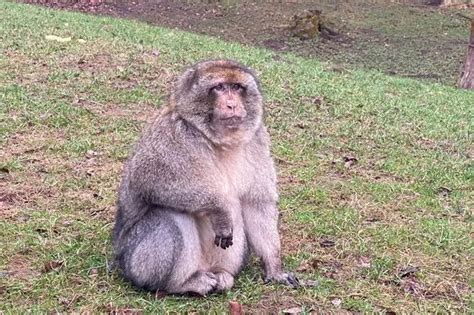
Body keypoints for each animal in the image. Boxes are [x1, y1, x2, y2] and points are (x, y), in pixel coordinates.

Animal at [111, 59, 298, 296]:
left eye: (237, 87)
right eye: (219, 87)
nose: (232, 104)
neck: (219, 141)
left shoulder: (257, 141)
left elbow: (257, 204)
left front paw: (275, 268)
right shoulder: (172, 134)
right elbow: (148, 179)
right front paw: (219, 209)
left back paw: (222, 275)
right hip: (135, 264)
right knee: (170, 215)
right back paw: (182, 284)